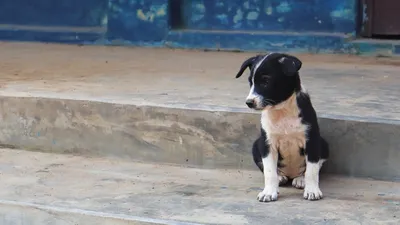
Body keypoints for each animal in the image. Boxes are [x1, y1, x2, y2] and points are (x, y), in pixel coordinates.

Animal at [234, 52, 328, 202]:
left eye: (266, 81)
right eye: (250, 82)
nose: (249, 102)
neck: (282, 110)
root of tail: (290, 174)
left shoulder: (311, 141)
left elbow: (312, 170)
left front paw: (312, 190)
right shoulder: (267, 144)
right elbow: (269, 171)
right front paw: (268, 192)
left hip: (322, 143)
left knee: (311, 168)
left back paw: (301, 179)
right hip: (256, 145)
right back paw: (280, 177)